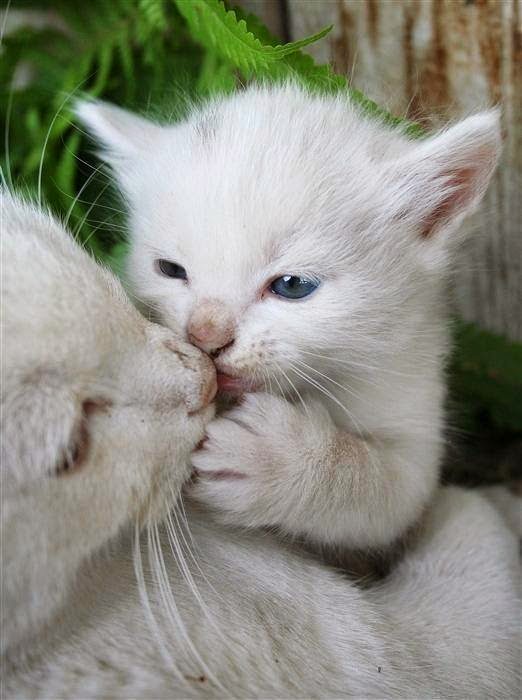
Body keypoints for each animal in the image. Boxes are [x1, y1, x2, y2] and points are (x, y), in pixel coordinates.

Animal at [78, 83, 500, 552]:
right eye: (170, 270)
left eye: (293, 285)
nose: (205, 335)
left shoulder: (415, 398)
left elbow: (384, 490)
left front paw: (280, 459)